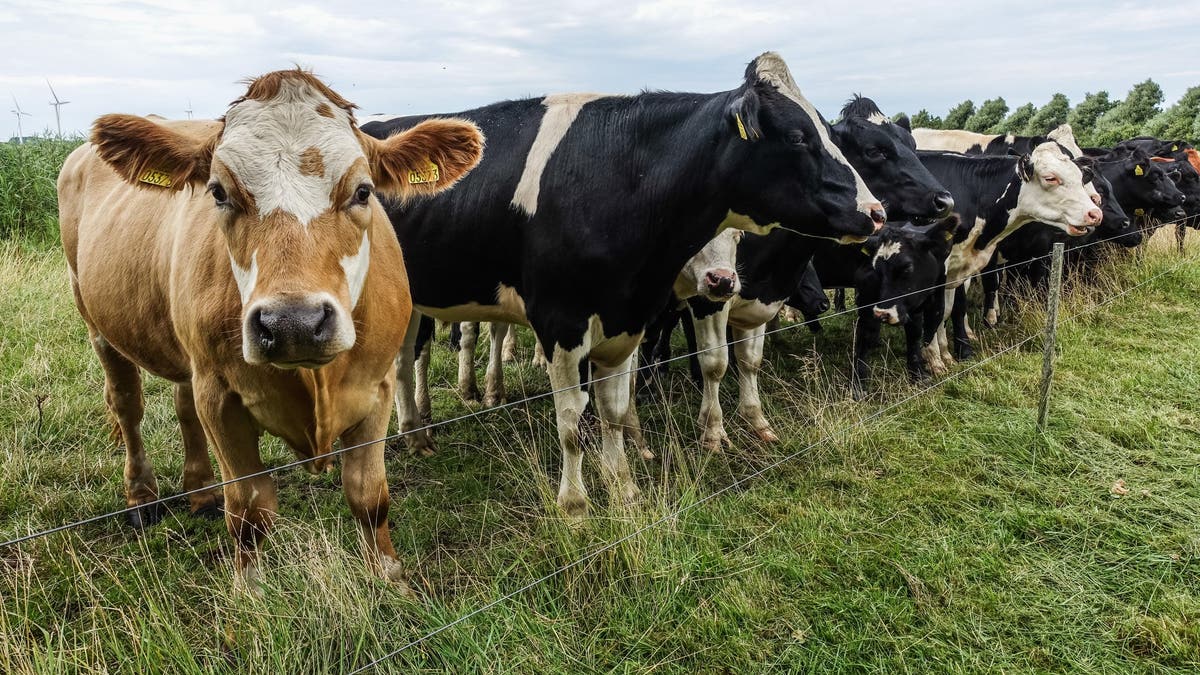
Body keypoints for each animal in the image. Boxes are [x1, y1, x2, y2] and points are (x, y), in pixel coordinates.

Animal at [58, 69, 484, 583]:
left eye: (363, 191)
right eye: (218, 191)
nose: (293, 324)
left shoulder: (377, 386)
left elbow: (369, 497)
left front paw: (389, 577)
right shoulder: (220, 396)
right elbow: (249, 512)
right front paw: (249, 589)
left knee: (182, 403)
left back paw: (202, 490)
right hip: (95, 319)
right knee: (127, 405)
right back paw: (142, 496)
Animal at [360, 53, 888, 514]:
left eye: (830, 134)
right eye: (798, 137)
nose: (877, 211)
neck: (625, 176)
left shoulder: (626, 319)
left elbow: (613, 410)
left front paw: (624, 489)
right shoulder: (562, 322)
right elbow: (572, 421)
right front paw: (574, 506)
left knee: (402, 363)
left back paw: (416, 434)